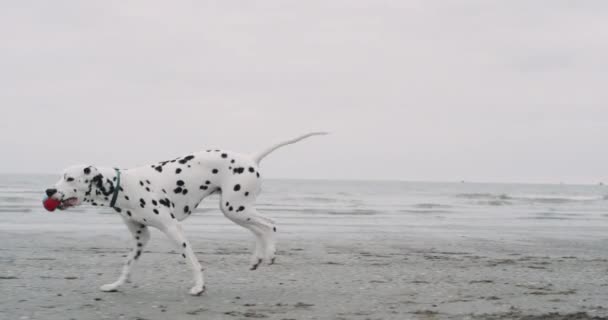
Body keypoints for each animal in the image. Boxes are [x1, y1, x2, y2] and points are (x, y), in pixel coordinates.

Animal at [44, 132, 326, 296]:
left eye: (70, 178)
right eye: (61, 176)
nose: (49, 190)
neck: (123, 186)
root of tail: (250, 157)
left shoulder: (173, 229)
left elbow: (191, 261)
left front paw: (199, 286)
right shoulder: (140, 238)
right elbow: (127, 265)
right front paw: (115, 285)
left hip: (234, 208)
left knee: (269, 225)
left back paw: (269, 254)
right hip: (236, 210)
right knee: (261, 228)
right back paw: (258, 258)